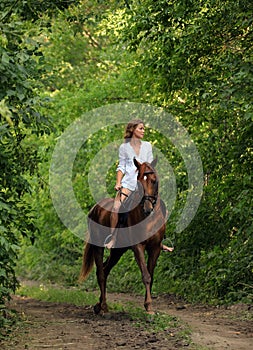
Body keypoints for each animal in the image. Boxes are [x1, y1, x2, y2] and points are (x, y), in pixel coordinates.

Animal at [78, 157, 166, 314]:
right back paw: (103, 306)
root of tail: (94, 208)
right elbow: (146, 275)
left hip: (118, 251)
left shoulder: (155, 248)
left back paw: (99, 304)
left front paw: (148, 305)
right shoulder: (138, 247)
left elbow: (151, 275)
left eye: (154, 180)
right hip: (98, 247)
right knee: (101, 273)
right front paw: (148, 305)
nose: (147, 208)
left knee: (105, 269)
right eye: (138, 181)